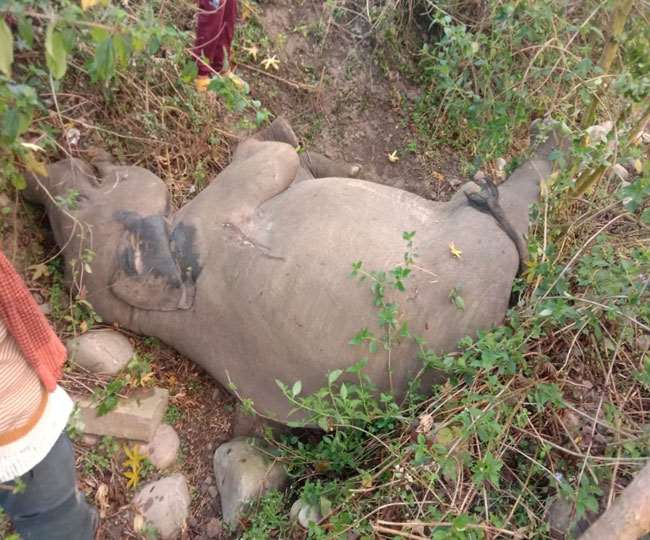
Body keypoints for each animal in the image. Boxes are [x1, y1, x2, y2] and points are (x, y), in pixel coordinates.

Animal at [24, 118, 562, 424]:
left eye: (79, 199)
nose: (39, 176)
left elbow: (288, 159)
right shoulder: (216, 217)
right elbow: (275, 156)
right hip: (476, 239)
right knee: (489, 200)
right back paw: (550, 143)